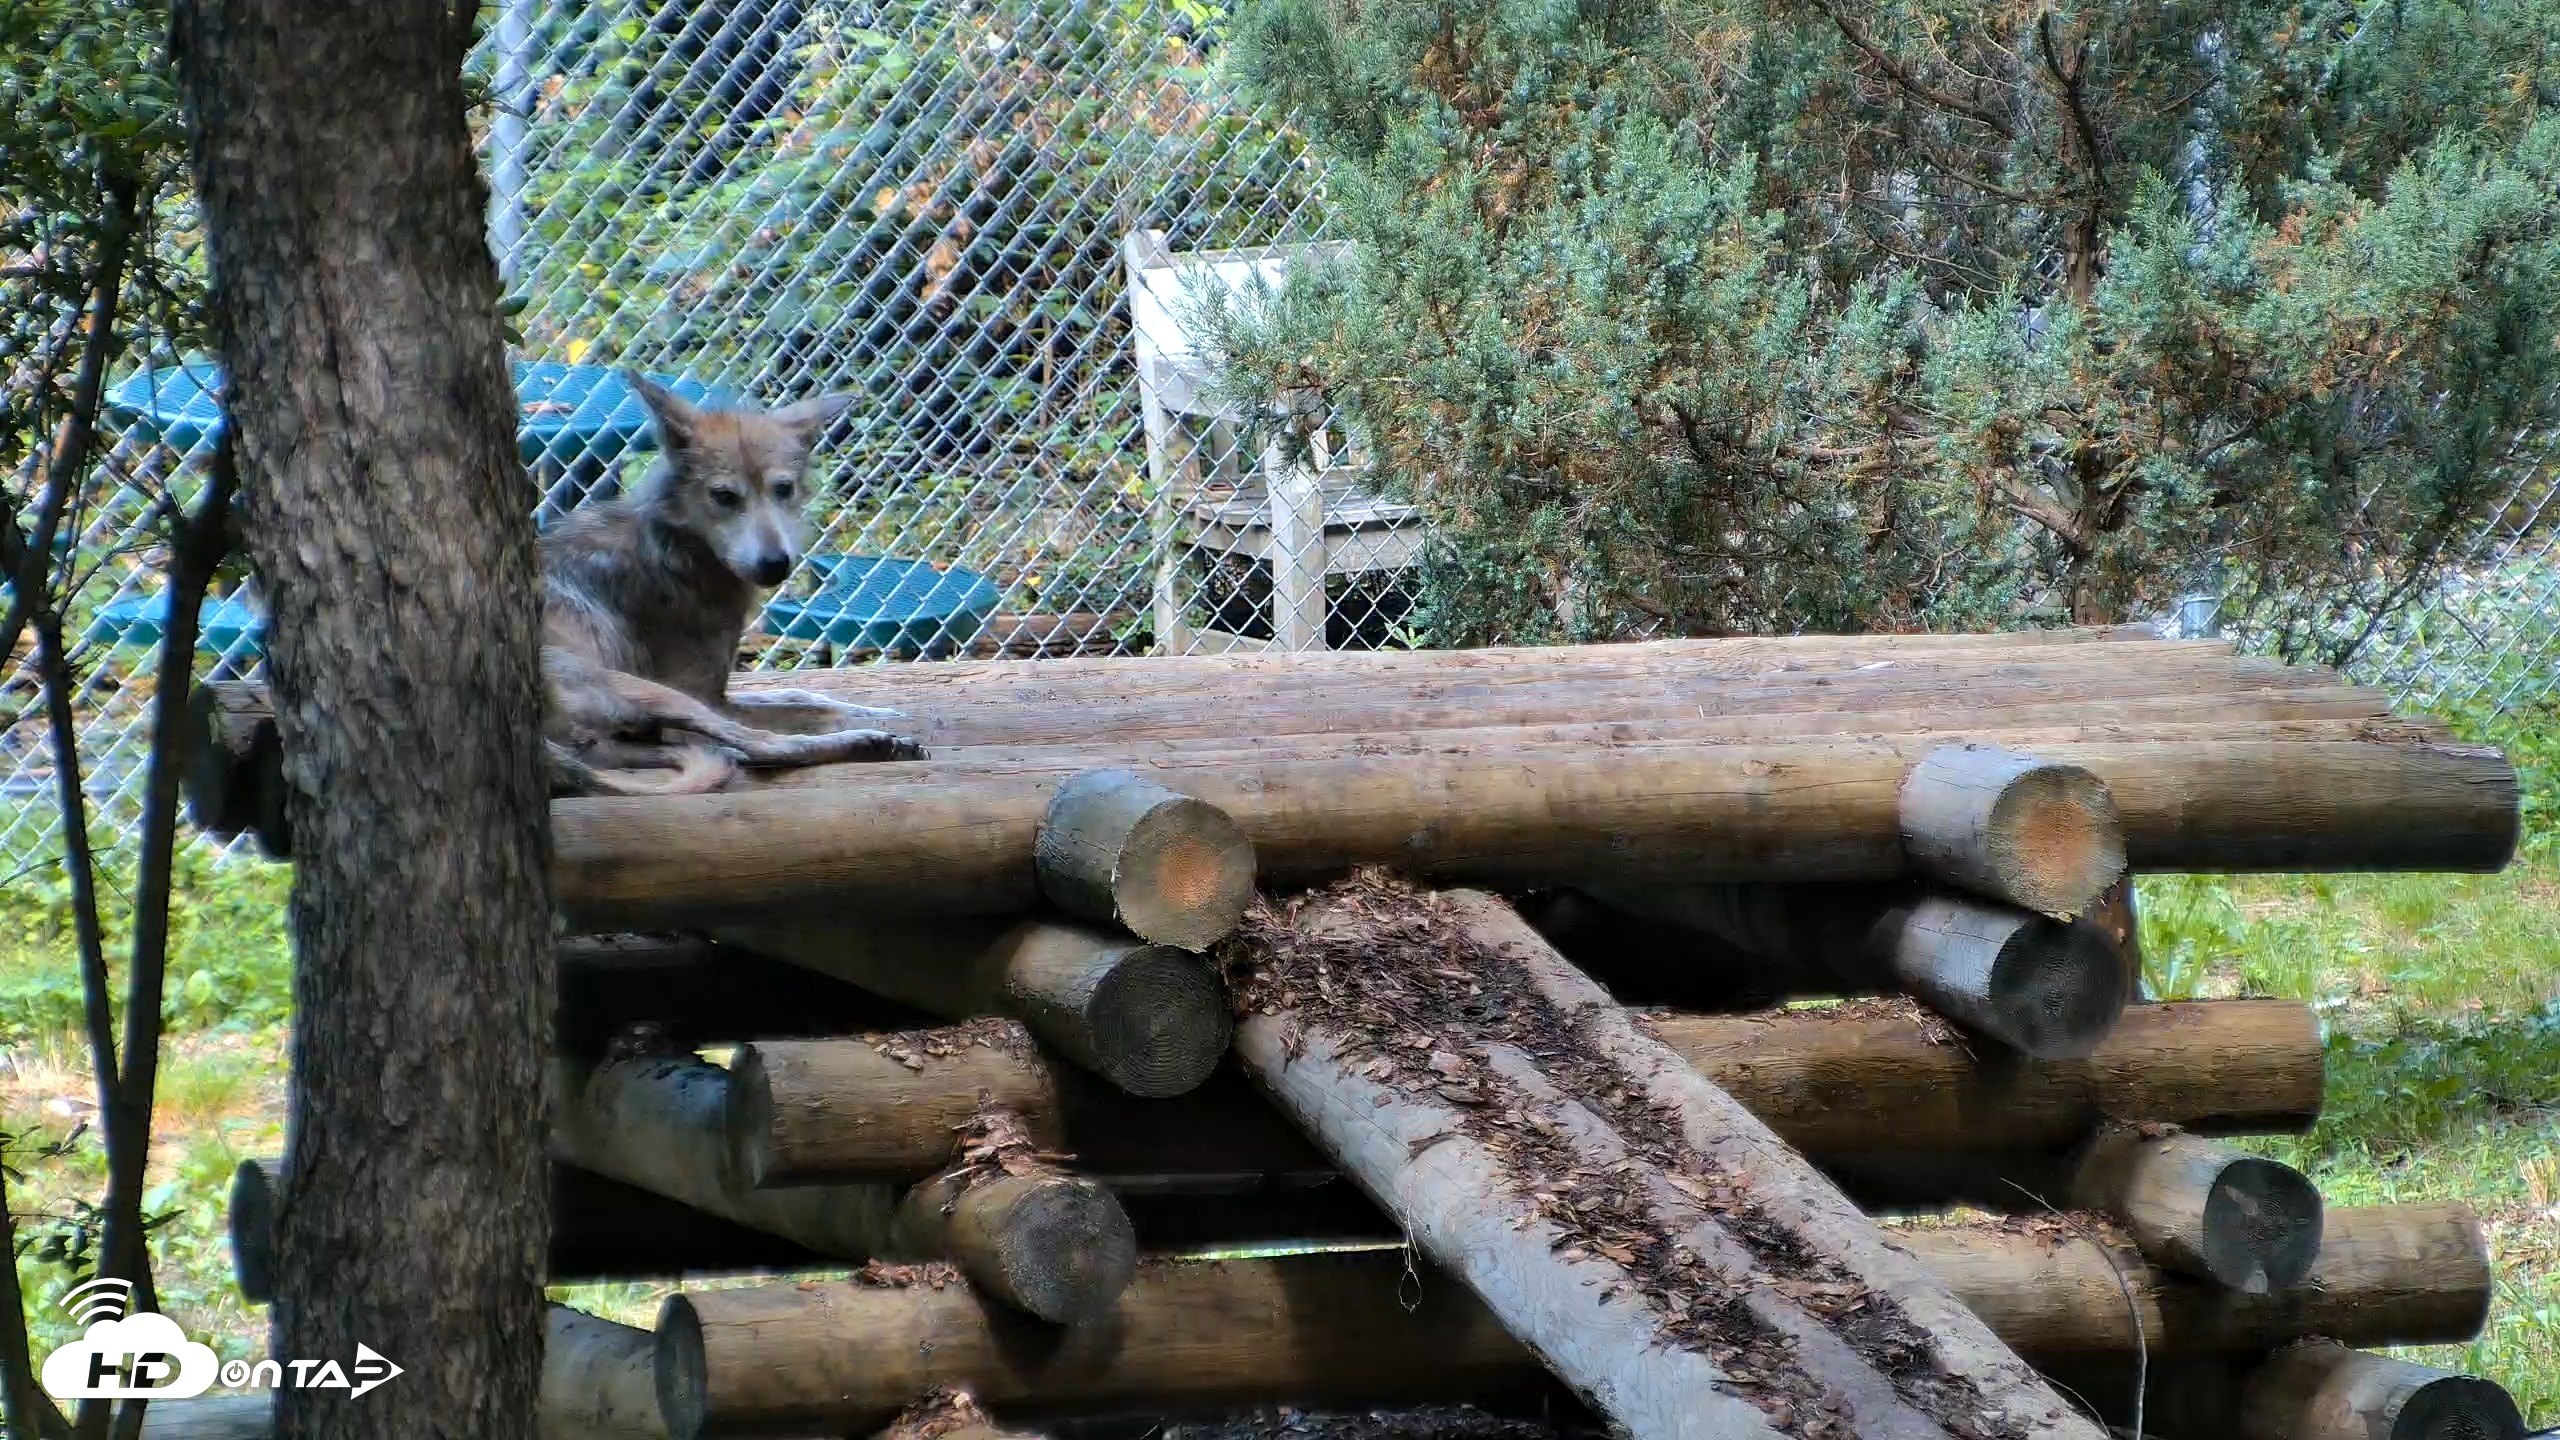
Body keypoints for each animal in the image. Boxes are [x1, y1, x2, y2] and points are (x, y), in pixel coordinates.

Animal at [540, 371, 925, 796]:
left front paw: (879, 709)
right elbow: (812, 712)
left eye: (783, 489)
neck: (676, 547)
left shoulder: (721, 692)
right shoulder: (707, 696)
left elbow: (803, 694)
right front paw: (888, 724)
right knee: (768, 746)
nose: (775, 563)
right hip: (653, 694)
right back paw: (872, 743)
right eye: (723, 496)